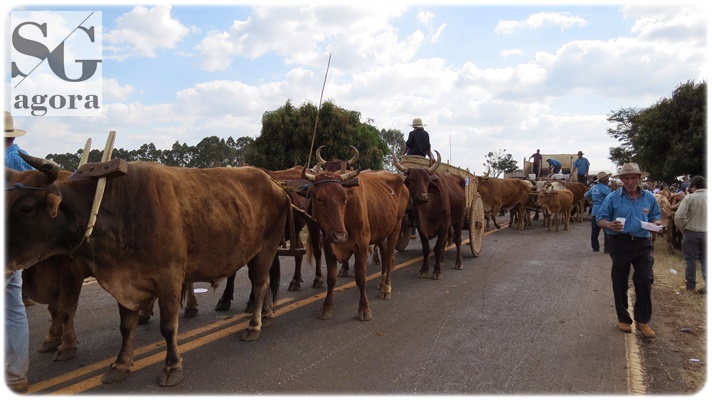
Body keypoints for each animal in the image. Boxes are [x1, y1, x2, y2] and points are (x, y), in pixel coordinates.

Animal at [6, 154, 291, 387]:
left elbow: (168, 326)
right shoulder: (125, 281)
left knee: (260, 284)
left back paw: (254, 326)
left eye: (26, 207)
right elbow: (126, 326)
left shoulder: (169, 278)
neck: (118, 210)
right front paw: (120, 365)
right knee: (265, 284)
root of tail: (274, 183)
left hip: (266, 247)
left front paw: (172, 367)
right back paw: (266, 315)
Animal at [300, 166, 409, 321]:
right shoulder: (328, 244)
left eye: (344, 199)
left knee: (388, 257)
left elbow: (361, 277)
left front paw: (364, 308)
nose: (340, 235)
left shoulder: (362, 244)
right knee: (383, 254)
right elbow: (331, 278)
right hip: (381, 230)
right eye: (319, 199)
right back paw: (381, 283)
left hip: (396, 226)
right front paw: (327, 307)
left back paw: (386, 288)